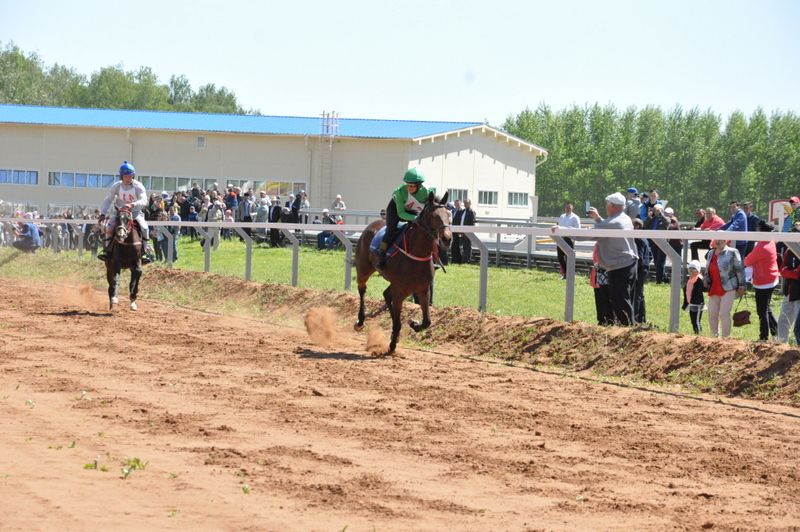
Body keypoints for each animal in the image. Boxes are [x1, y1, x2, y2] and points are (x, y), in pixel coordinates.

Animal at [354, 189, 450, 356]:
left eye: (448, 214)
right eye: (433, 216)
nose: (447, 238)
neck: (416, 253)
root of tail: (370, 226)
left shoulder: (422, 289)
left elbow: (427, 321)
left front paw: (414, 324)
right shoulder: (400, 290)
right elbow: (398, 322)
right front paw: (391, 345)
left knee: (386, 294)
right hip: (364, 269)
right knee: (362, 289)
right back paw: (360, 321)